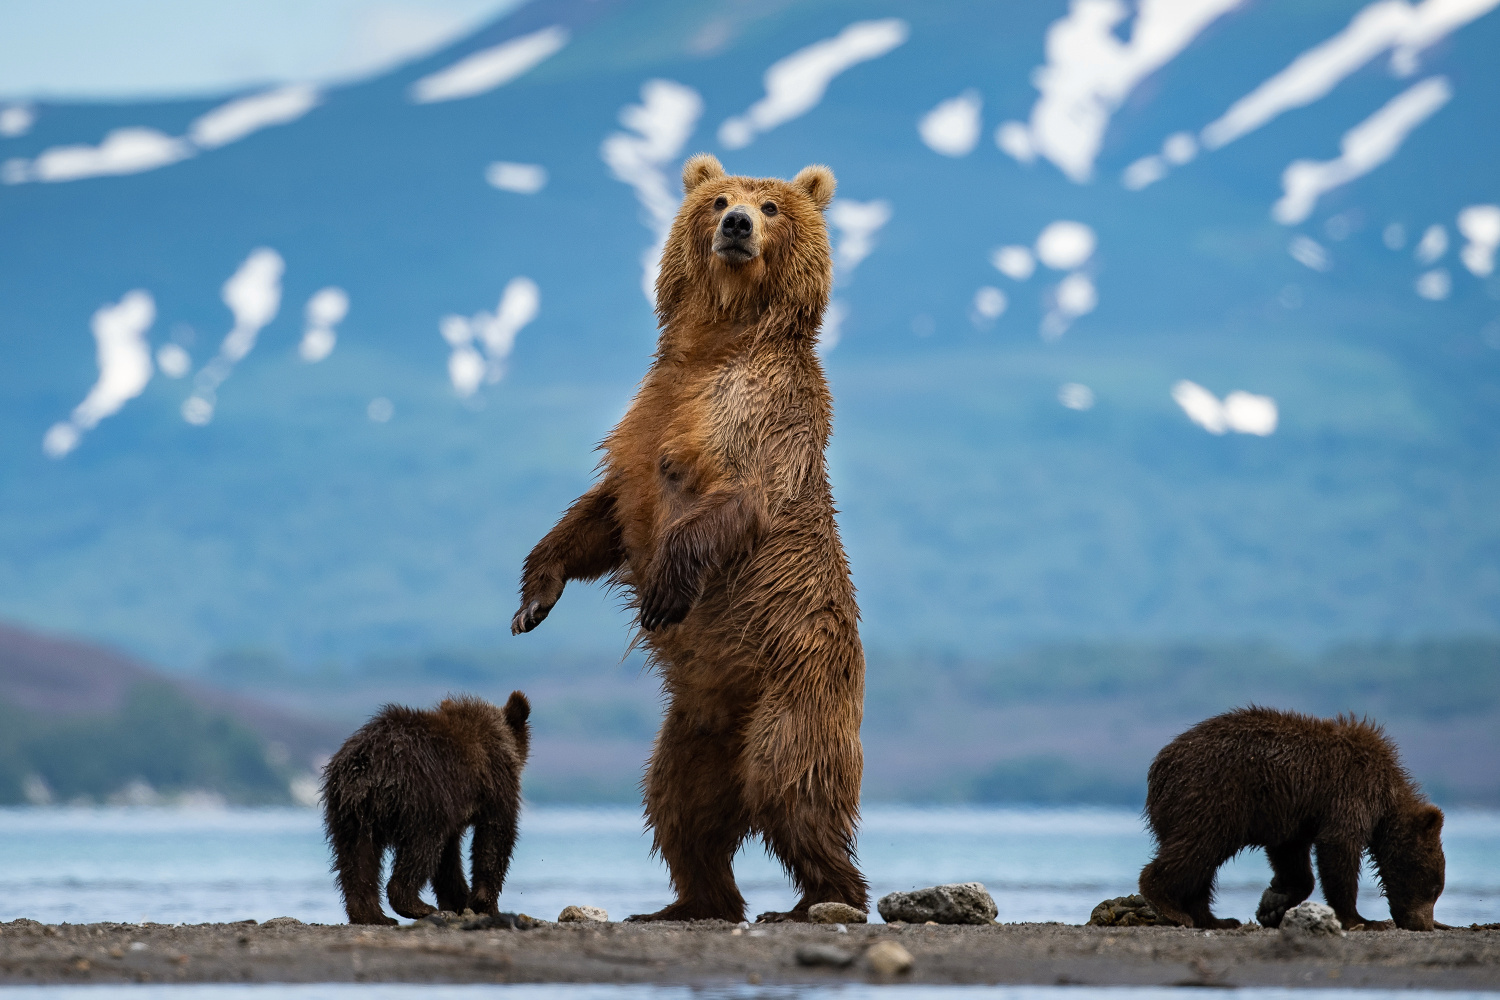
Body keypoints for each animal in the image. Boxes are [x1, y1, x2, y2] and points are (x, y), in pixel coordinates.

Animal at [319, 695, 531, 923]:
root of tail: (369, 767)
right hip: (422, 800)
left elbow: (449, 857)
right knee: (421, 849)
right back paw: (417, 906)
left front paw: (459, 900)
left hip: (348, 811)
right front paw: (484, 903)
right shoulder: (495, 784)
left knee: (357, 859)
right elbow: (494, 836)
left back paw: (372, 915)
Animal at [516, 150, 870, 923]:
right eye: (717, 199)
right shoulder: (645, 421)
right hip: (694, 725)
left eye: (771, 206)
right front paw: (533, 597)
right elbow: (599, 517)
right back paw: (689, 902)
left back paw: (824, 896)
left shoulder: (757, 419)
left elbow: (733, 504)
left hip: (795, 688)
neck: (719, 344)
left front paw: (663, 592)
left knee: (791, 787)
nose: (736, 224)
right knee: (680, 804)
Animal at [1140, 707, 1446, 935]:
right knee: (1198, 848)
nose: (1424, 925)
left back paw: (1216, 919)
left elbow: (1291, 857)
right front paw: (1362, 920)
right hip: (1213, 797)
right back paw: (1167, 903)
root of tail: (1159, 768)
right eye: (1433, 888)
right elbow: (1339, 847)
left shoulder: (1294, 816)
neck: (1387, 797)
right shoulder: (1351, 792)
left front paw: (1272, 904)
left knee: (1202, 863)